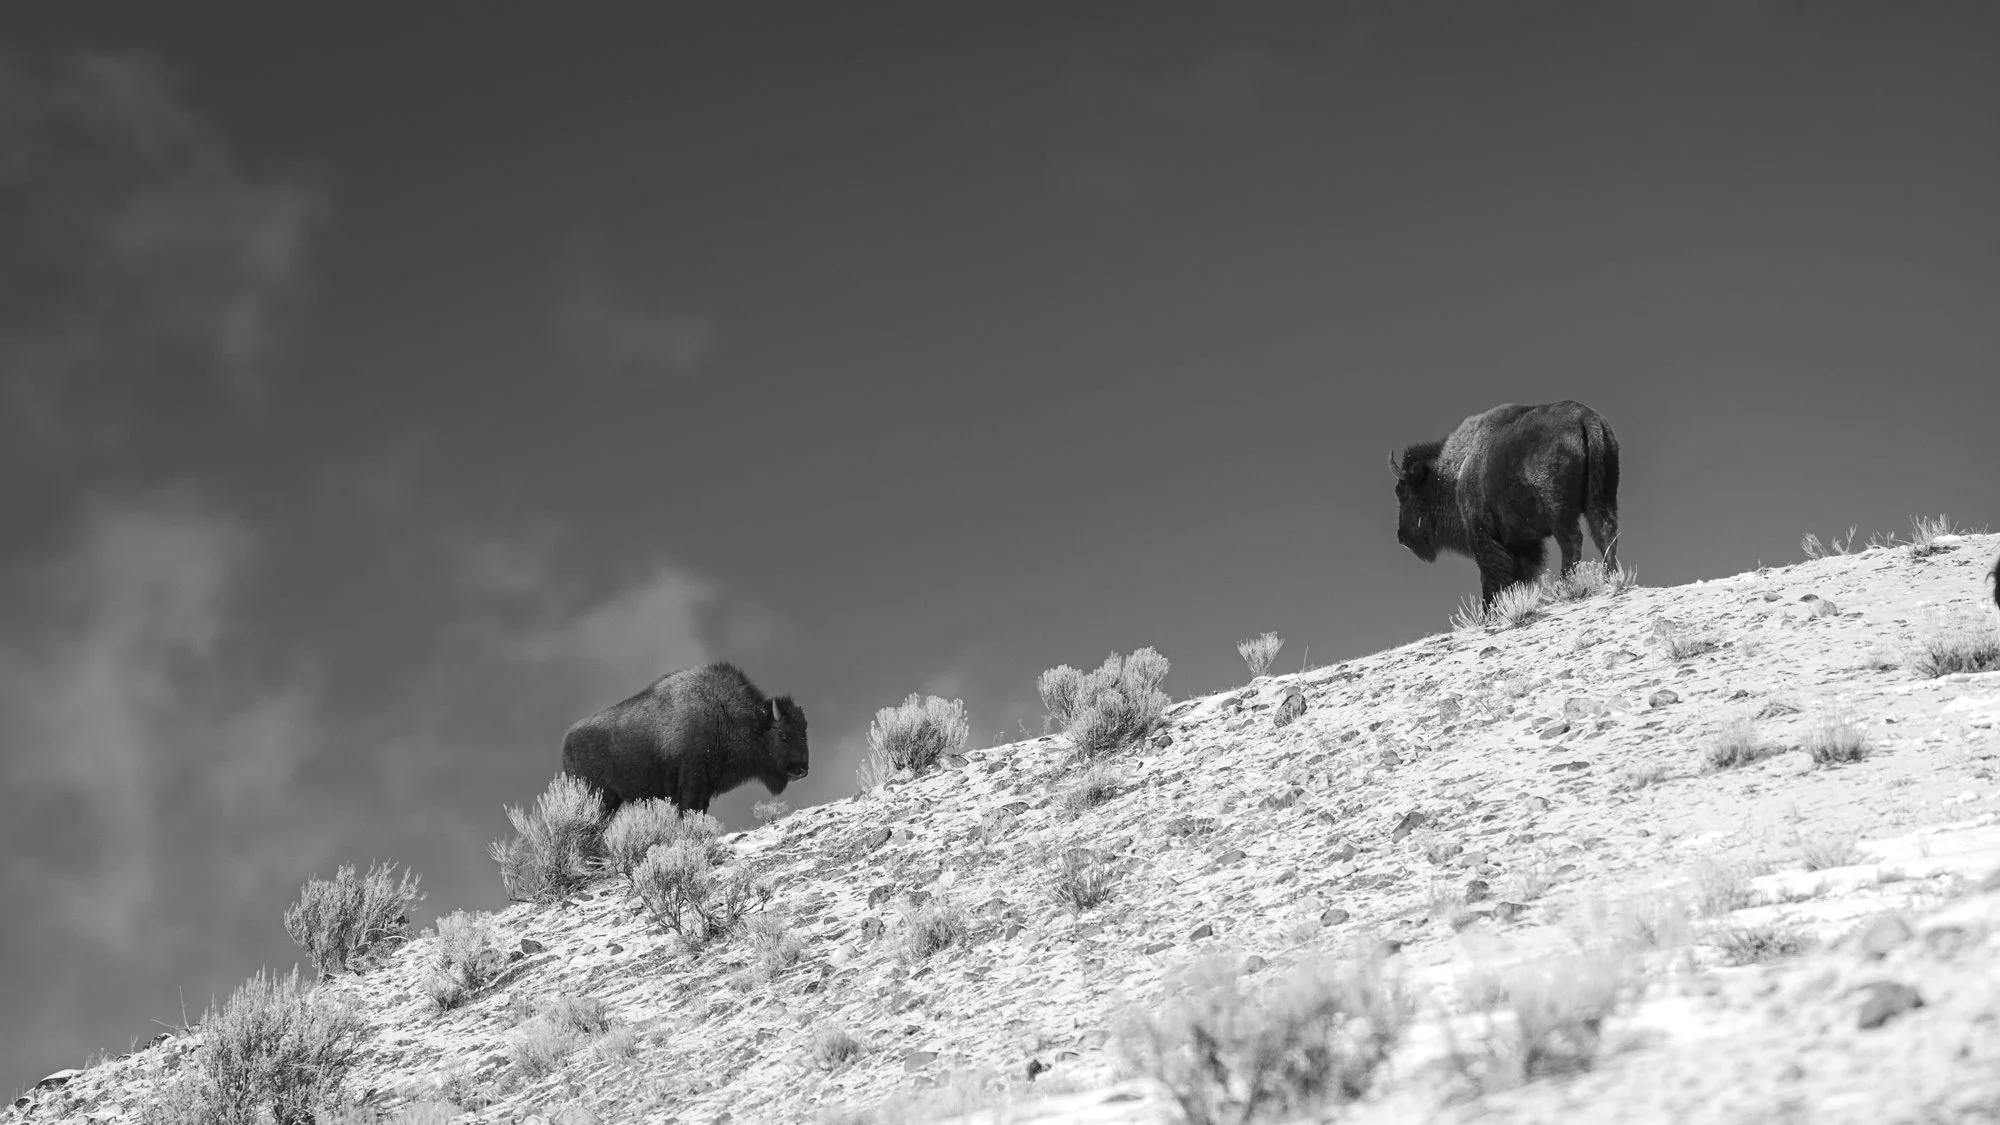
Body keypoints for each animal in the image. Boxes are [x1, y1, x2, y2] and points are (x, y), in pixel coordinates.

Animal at [1391, 399, 1621, 607]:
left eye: (1401, 493)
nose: (1402, 537)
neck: (1457, 470)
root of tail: (1586, 417)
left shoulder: (1484, 535)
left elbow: (1491, 576)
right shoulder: (1522, 543)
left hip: (1558, 510)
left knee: (1572, 541)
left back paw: (1564, 587)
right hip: (1601, 497)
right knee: (1604, 531)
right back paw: (1610, 577)